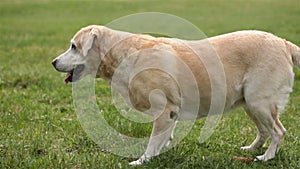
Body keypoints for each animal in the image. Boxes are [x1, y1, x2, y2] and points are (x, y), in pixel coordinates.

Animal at [52, 25, 300, 165]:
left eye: (73, 46)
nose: (53, 62)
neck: (122, 56)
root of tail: (284, 43)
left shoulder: (166, 111)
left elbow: (152, 142)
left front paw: (142, 161)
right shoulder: (169, 115)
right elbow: (163, 138)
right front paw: (160, 152)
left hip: (260, 102)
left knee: (279, 131)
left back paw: (266, 158)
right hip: (251, 103)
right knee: (264, 131)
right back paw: (251, 150)